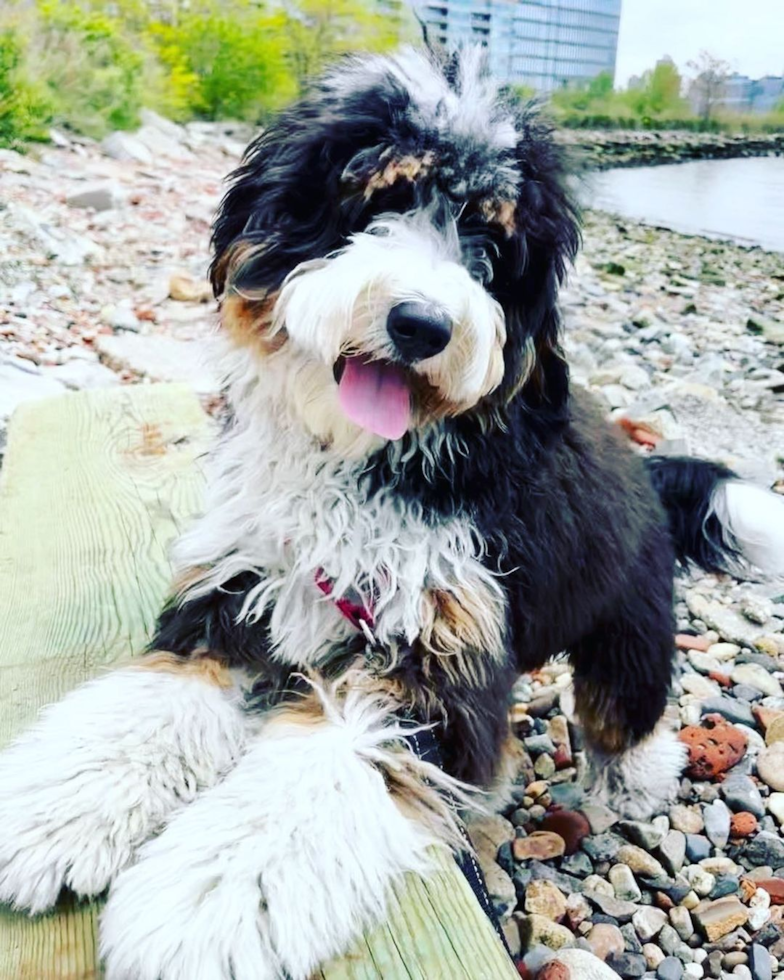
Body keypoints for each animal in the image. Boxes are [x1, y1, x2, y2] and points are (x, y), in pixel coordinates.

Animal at [1, 44, 784, 980]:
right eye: (376, 200)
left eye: (489, 244)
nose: (422, 324)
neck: (373, 459)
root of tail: (649, 466)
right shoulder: (244, 579)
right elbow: (159, 698)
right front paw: (60, 807)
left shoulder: (444, 647)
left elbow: (330, 766)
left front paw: (210, 902)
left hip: (629, 622)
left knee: (624, 709)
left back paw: (631, 774)